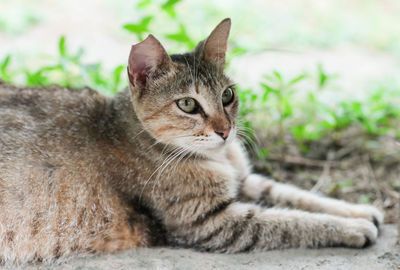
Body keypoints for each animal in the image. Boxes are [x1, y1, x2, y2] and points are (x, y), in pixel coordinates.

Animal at [0, 18, 382, 264]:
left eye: (227, 95)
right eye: (187, 104)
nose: (225, 130)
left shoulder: (245, 180)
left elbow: (297, 195)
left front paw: (357, 210)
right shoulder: (211, 223)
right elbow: (291, 221)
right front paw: (353, 227)